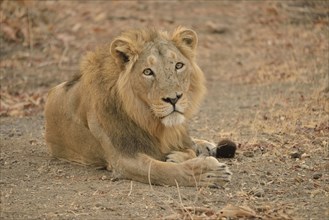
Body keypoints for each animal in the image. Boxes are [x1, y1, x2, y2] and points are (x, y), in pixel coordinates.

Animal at [44, 26, 232, 186]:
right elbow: (162, 170)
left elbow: (186, 150)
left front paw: (180, 155)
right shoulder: (123, 159)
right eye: (148, 71)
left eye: (179, 65)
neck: (147, 119)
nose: (174, 99)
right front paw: (209, 173)